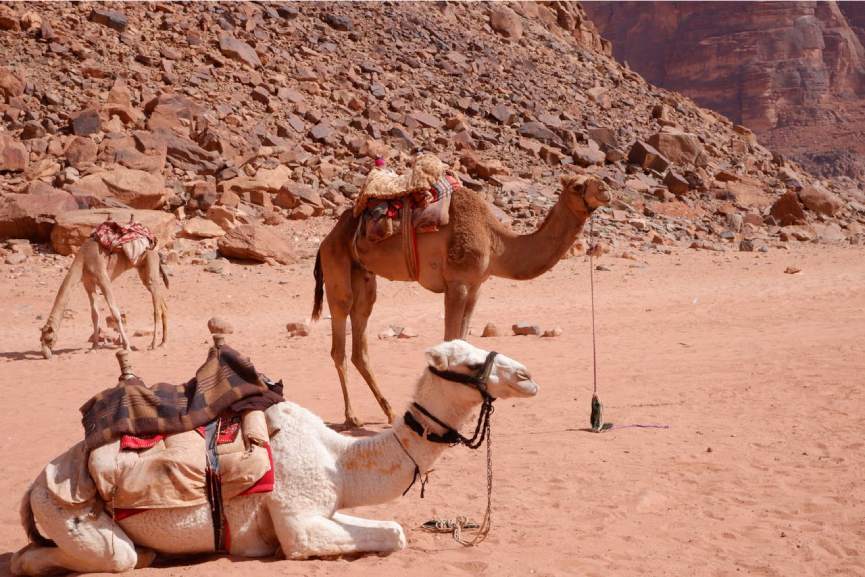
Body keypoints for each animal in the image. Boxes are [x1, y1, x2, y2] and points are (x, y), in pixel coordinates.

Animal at [11, 339, 538, 575]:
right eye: (470, 362)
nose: (527, 376)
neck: (337, 459)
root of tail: (33, 488)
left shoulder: (328, 505)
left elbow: (393, 529)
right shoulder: (296, 519)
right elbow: (388, 534)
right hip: (67, 509)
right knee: (91, 556)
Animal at [39, 237, 169, 359]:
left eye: (49, 339)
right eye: (40, 340)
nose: (46, 355)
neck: (83, 260)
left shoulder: (103, 279)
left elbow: (115, 312)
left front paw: (126, 346)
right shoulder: (88, 283)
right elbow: (95, 314)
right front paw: (94, 347)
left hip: (150, 265)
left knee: (157, 308)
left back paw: (153, 344)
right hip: (143, 271)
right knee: (163, 304)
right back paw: (163, 343)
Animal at [312, 173, 610, 426]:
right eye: (578, 186)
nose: (605, 190)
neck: (495, 241)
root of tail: (326, 239)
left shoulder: (476, 286)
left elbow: (464, 340)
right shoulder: (457, 284)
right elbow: (450, 339)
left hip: (364, 275)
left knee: (360, 339)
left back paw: (390, 412)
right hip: (336, 265)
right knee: (339, 336)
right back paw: (352, 417)